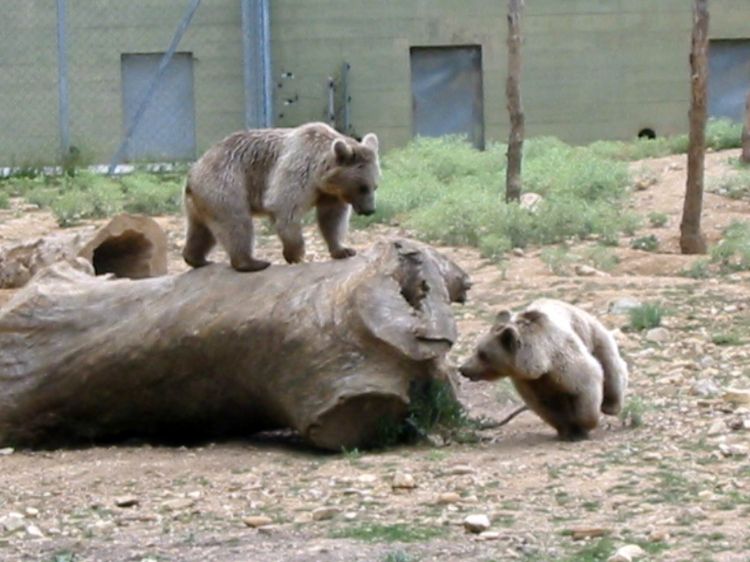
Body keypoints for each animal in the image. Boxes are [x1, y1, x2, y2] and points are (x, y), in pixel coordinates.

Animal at [183, 122, 382, 272]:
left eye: (375, 186)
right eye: (362, 188)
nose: (370, 209)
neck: (321, 175)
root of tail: (192, 174)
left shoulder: (330, 194)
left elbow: (332, 219)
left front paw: (344, 250)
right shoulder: (298, 171)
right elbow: (285, 206)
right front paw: (295, 253)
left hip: (202, 202)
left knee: (202, 230)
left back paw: (196, 258)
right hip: (226, 184)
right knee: (236, 223)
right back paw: (252, 262)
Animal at [458, 298, 628, 438]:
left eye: (482, 354)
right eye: (476, 349)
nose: (463, 368)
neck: (540, 365)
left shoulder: (562, 362)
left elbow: (586, 381)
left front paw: (583, 426)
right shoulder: (530, 382)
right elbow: (548, 406)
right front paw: (567, 431)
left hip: (592, 334)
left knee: (610, 366)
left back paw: (610, 406)